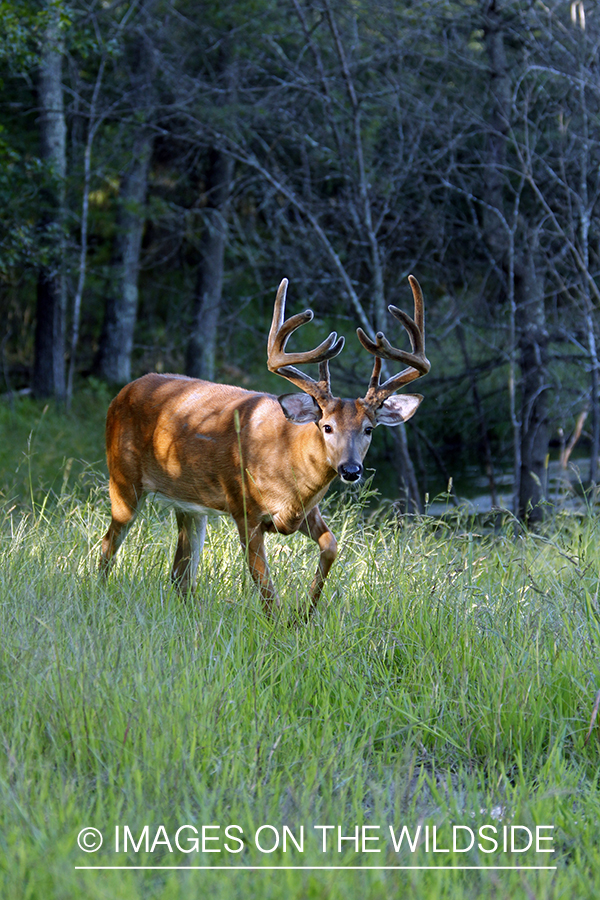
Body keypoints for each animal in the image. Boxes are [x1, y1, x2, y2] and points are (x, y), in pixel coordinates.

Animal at [99, 274, 426, 616]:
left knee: (180, 574)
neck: (286, 464)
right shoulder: (244, 508)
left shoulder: (307, 510)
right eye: (327, 426)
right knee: (108, 546)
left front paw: (305, 613)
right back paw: (99, 592)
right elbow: (266, 588)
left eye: (369, 429)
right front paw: (282, 622)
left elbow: (331, 546)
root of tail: (122, 392)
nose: (351, 469)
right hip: (123, 479)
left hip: (189, 504)